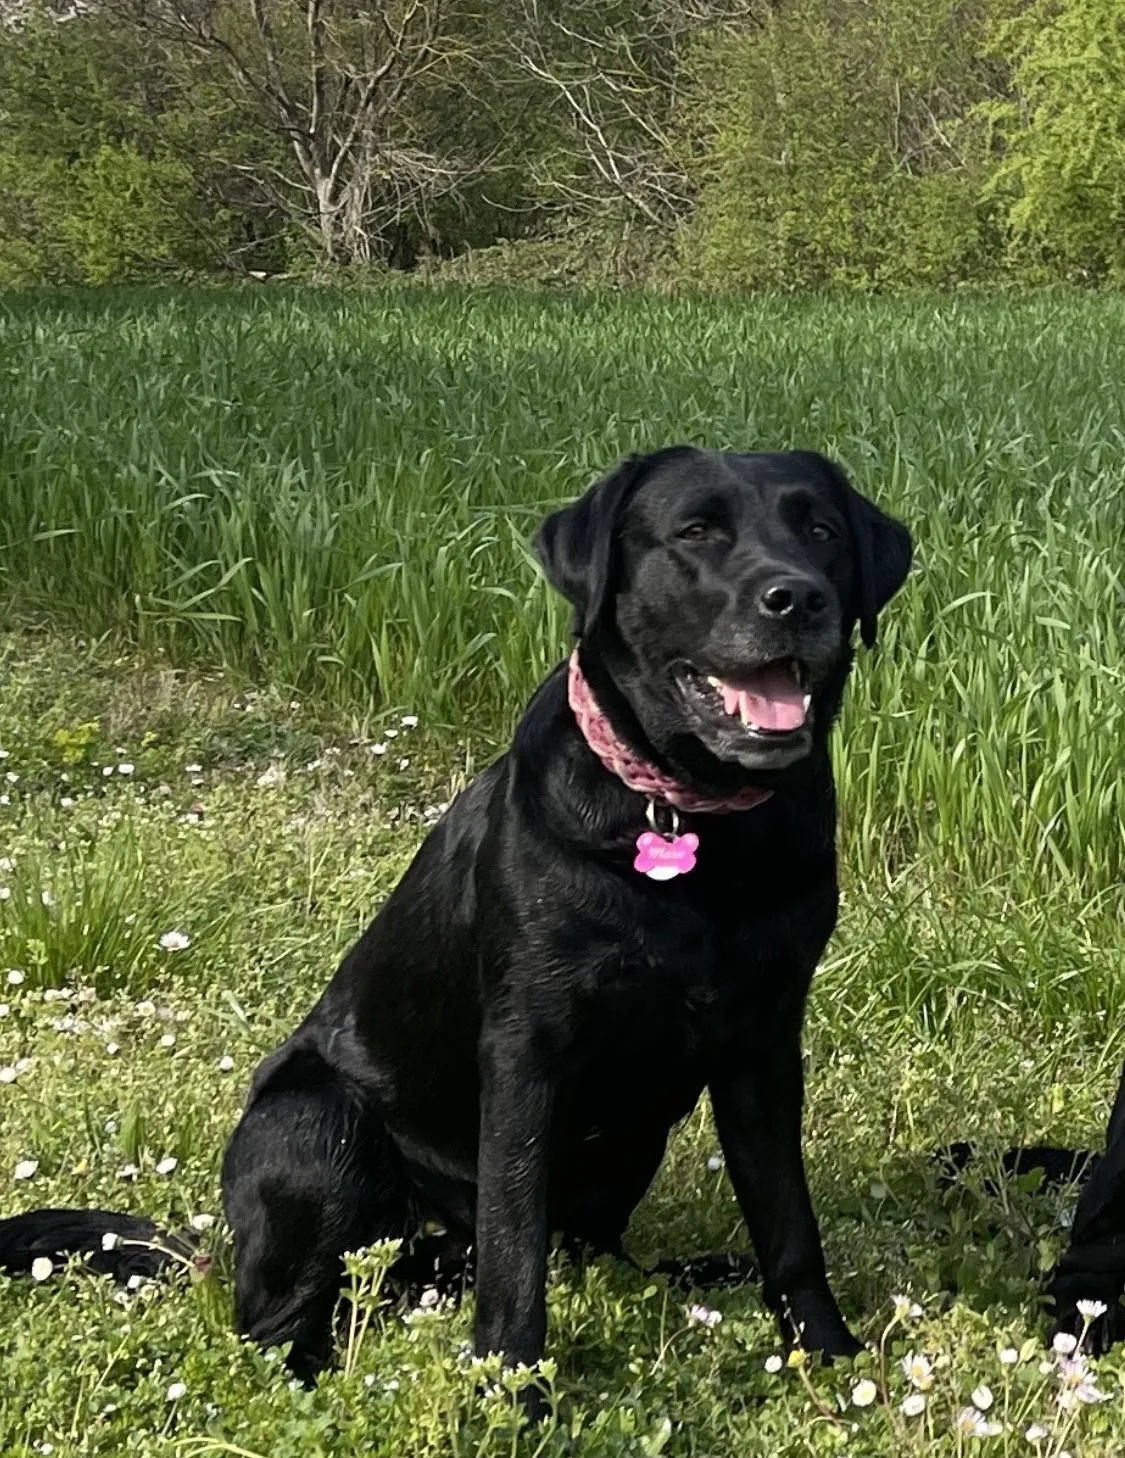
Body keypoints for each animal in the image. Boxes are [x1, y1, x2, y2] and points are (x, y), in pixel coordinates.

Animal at [0, 443, 915, 1399]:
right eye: (696, 531)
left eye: (820, 531)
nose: (796, 597)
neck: (690, 823)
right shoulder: (524, 1051)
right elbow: (516, 1245)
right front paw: (516, 1391)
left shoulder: (762, 1044)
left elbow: (787, 1223)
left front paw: (829, 1355)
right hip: (312, 1127)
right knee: (282, 1320)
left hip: (624, 1147)